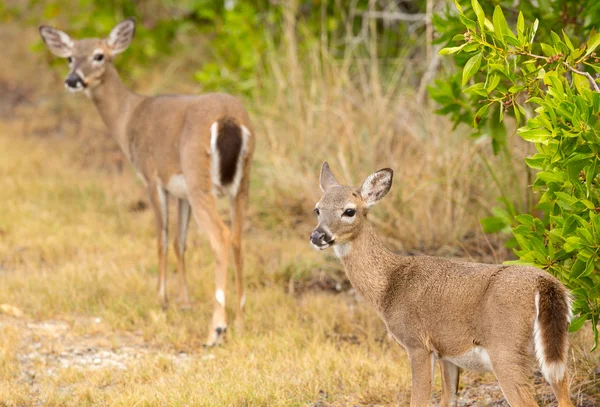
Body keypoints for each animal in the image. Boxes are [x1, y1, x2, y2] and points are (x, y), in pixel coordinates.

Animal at [39, 17, 255, 346]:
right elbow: (180, 242)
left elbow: (161, 239)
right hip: (241, 183)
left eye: (99, 55)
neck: (129, 117)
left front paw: (162, 300)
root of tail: (229, 119)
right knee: (238, 237)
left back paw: (216, 329)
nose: (73, 80)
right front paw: (184, 302)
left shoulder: (152, 177)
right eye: (69, 57)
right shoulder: (179, 190)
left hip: (199, 177)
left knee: (221, 237)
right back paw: (241, 322)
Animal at [312, 163, 576, 407]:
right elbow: (448, 399)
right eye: (317, 209)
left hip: (506, 350)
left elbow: (419, 400)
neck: (389, 284)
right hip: (555, 350)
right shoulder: (447, 354)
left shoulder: (417, 343)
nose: (317, 236)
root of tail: (544, 283)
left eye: (349, 211)